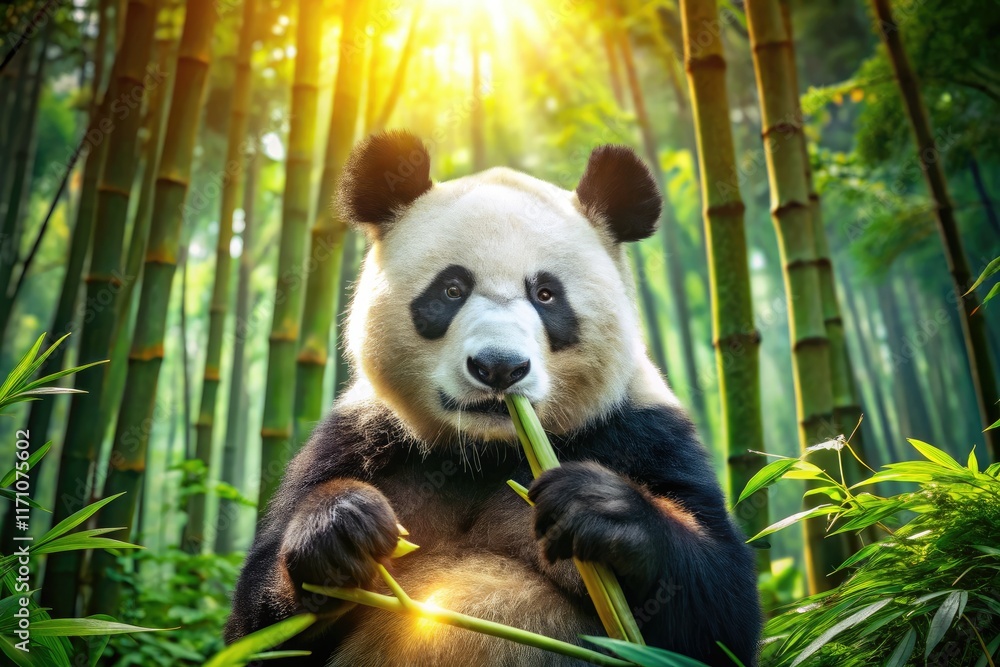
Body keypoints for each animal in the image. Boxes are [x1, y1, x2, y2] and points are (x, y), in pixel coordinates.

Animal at [225, 130, 762, 666]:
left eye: (546, 294)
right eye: (452, 289)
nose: (499, 367)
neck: (488, 452)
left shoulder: (642, 432)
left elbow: (720, 613)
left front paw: (593, 504)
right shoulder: (359, 439)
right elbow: (260, 627)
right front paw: (341, 528)